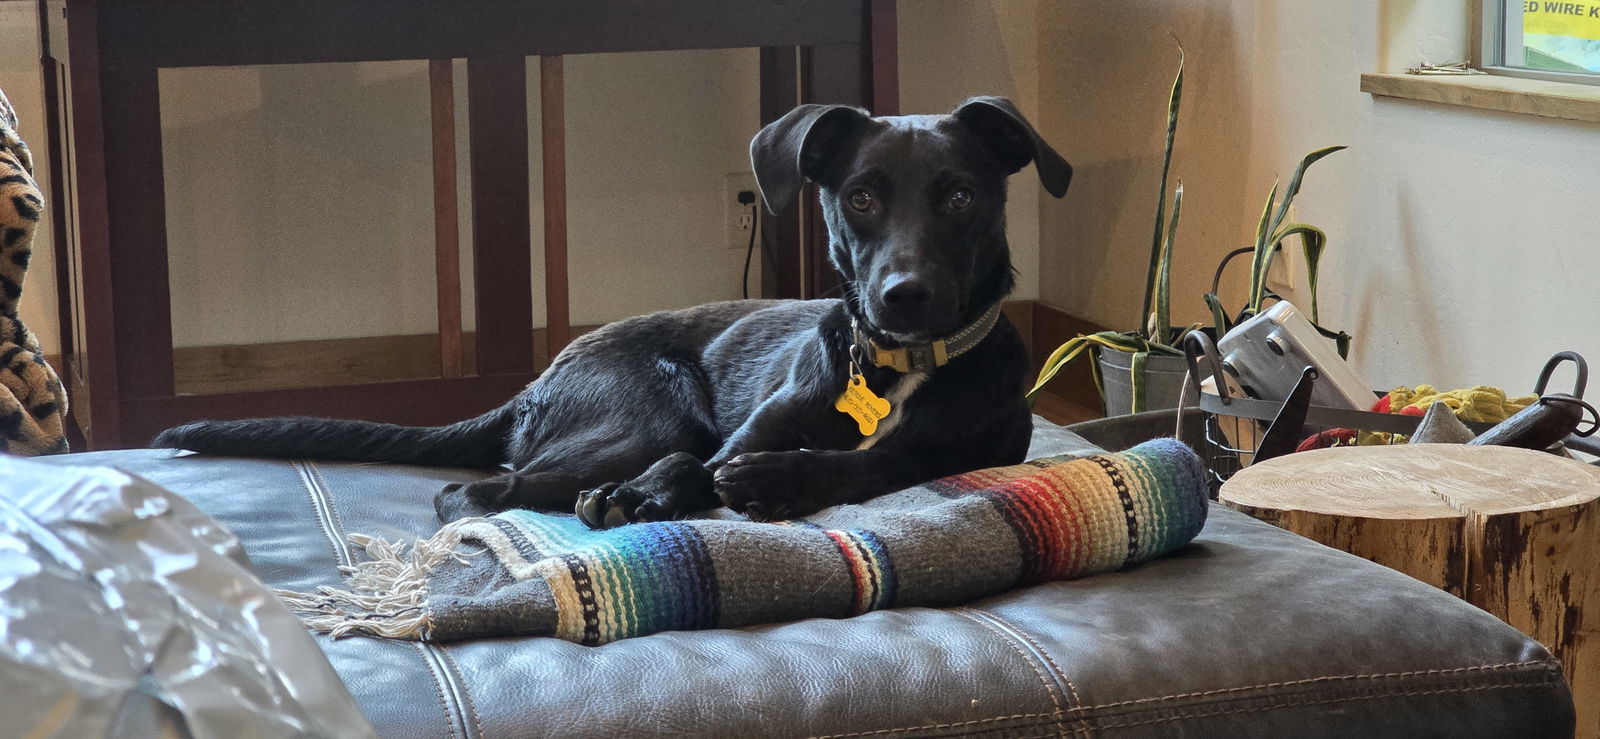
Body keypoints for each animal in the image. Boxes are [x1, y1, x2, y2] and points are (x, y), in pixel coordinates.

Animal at [156, 97, 1068, 527]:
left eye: (960, 195)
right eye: (862, 197)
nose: (902, 295)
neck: (896, 367)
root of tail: (533, 385)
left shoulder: (963, 453)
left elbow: (876, 463)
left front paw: (777, 479)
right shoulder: (731, 434)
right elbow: (695, 466)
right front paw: (653, 495)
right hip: (651, 410)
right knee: (473, 491)